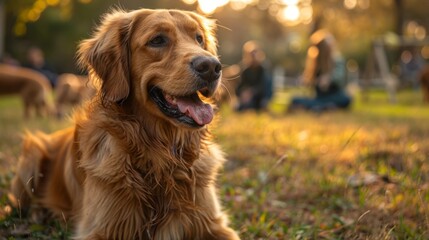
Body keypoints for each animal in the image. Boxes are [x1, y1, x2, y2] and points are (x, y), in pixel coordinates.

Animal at [10, 7, 239, 240]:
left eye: (199, 39)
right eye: (157, 40)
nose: (211, 66)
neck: (162, 157)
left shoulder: (213, 224)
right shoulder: (100, 228)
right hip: (32, 154)